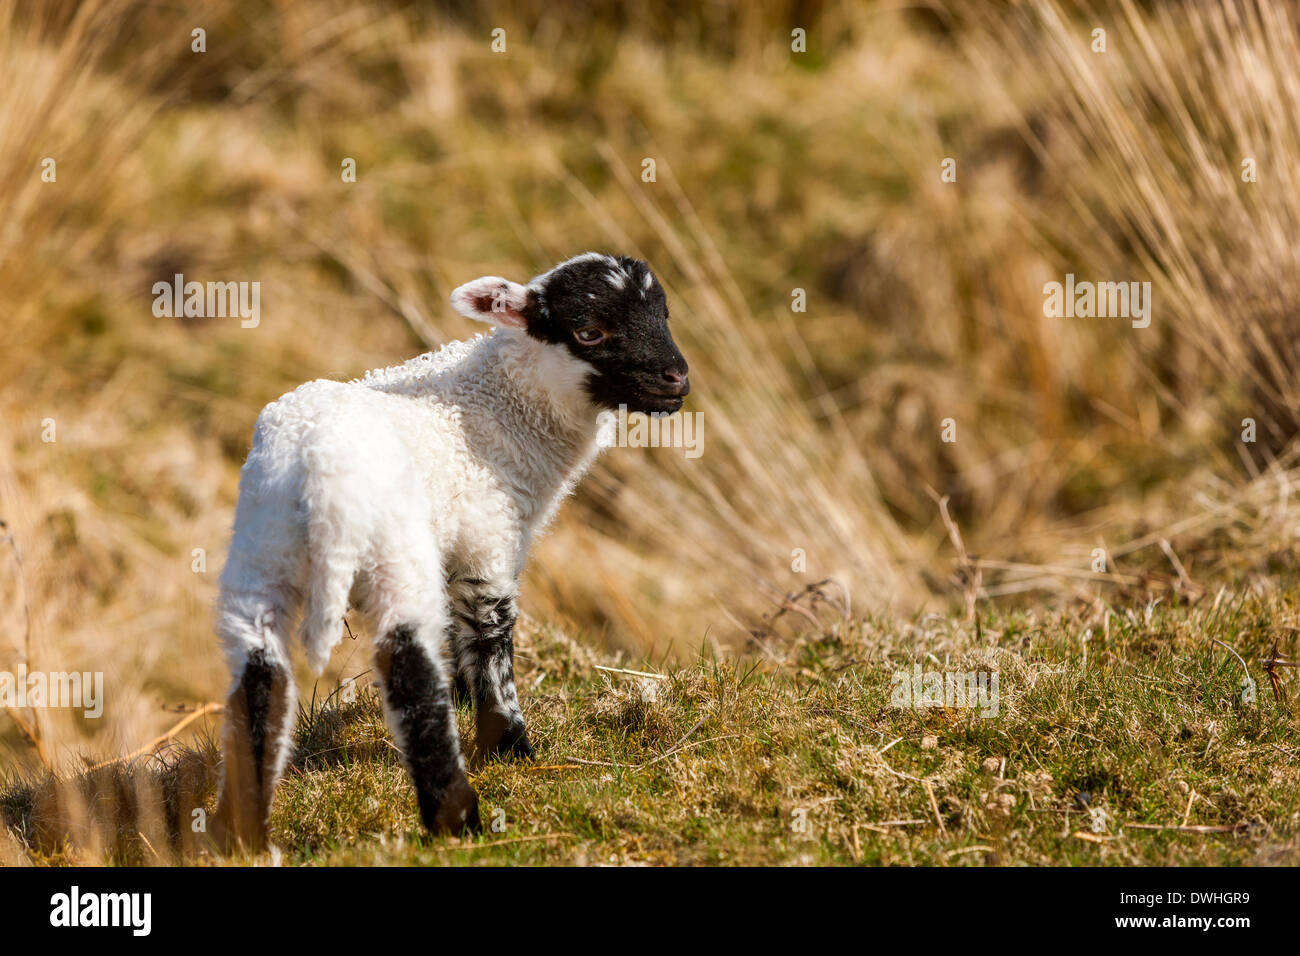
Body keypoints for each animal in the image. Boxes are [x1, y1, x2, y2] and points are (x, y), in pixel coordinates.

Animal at [214, 254, 696, 853]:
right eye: (589, 332)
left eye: (664, 314)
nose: (677, 378)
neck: (500, 405)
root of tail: (319, 465)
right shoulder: (489, 544)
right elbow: (491, 640)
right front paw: (508, 746)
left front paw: (468, 699)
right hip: (394, 555)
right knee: (408, 667)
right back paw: (457, 817)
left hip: (260, 550)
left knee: (260, 674)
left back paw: (239, 833)